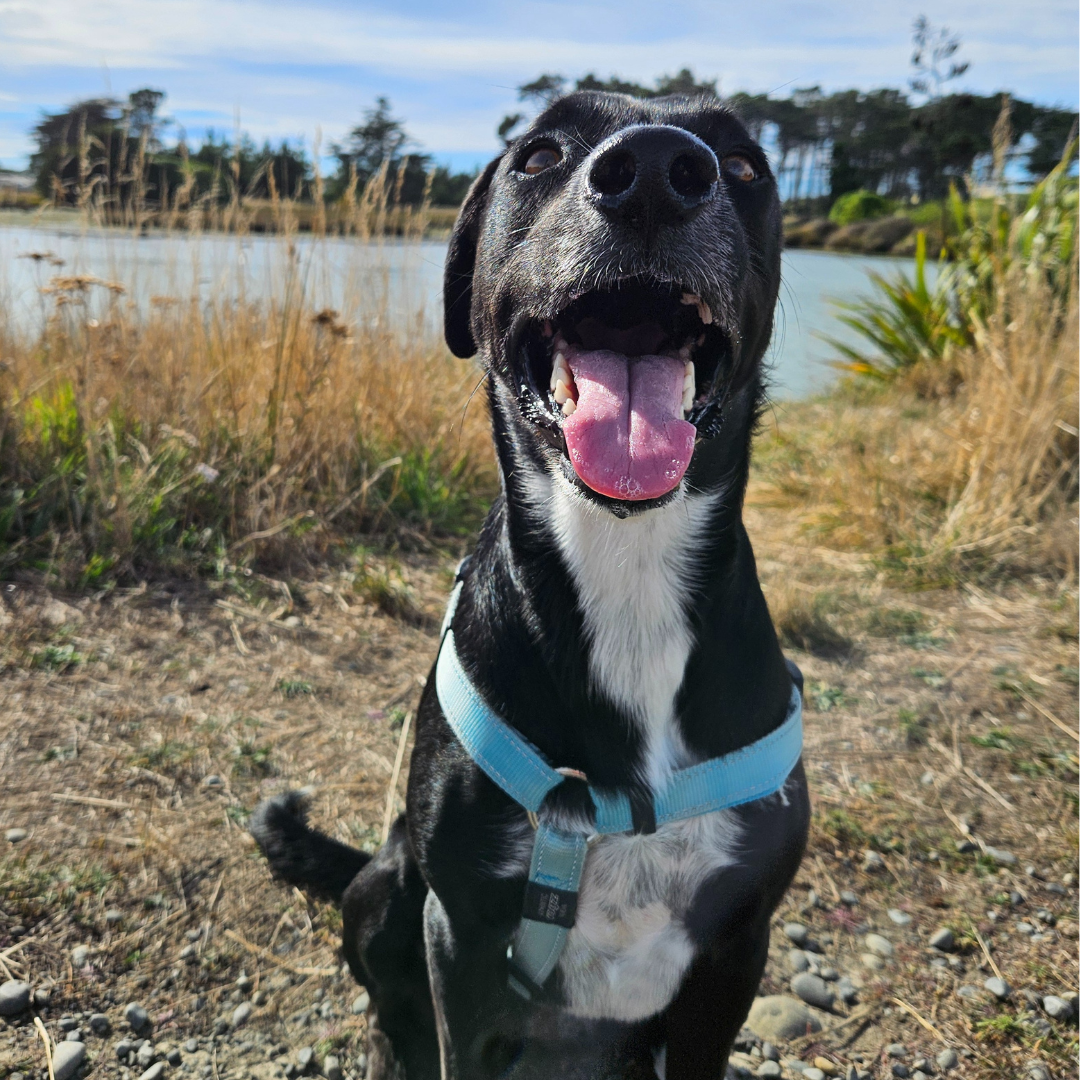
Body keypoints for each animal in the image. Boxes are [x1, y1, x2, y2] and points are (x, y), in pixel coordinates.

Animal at [252, 90, 812, 1080]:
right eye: (540, 154)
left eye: (746, 163)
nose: (657, 169)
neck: (625, 562)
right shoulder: (461, 932)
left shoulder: (737, 947)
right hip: (386, 887)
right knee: (390, 1006)